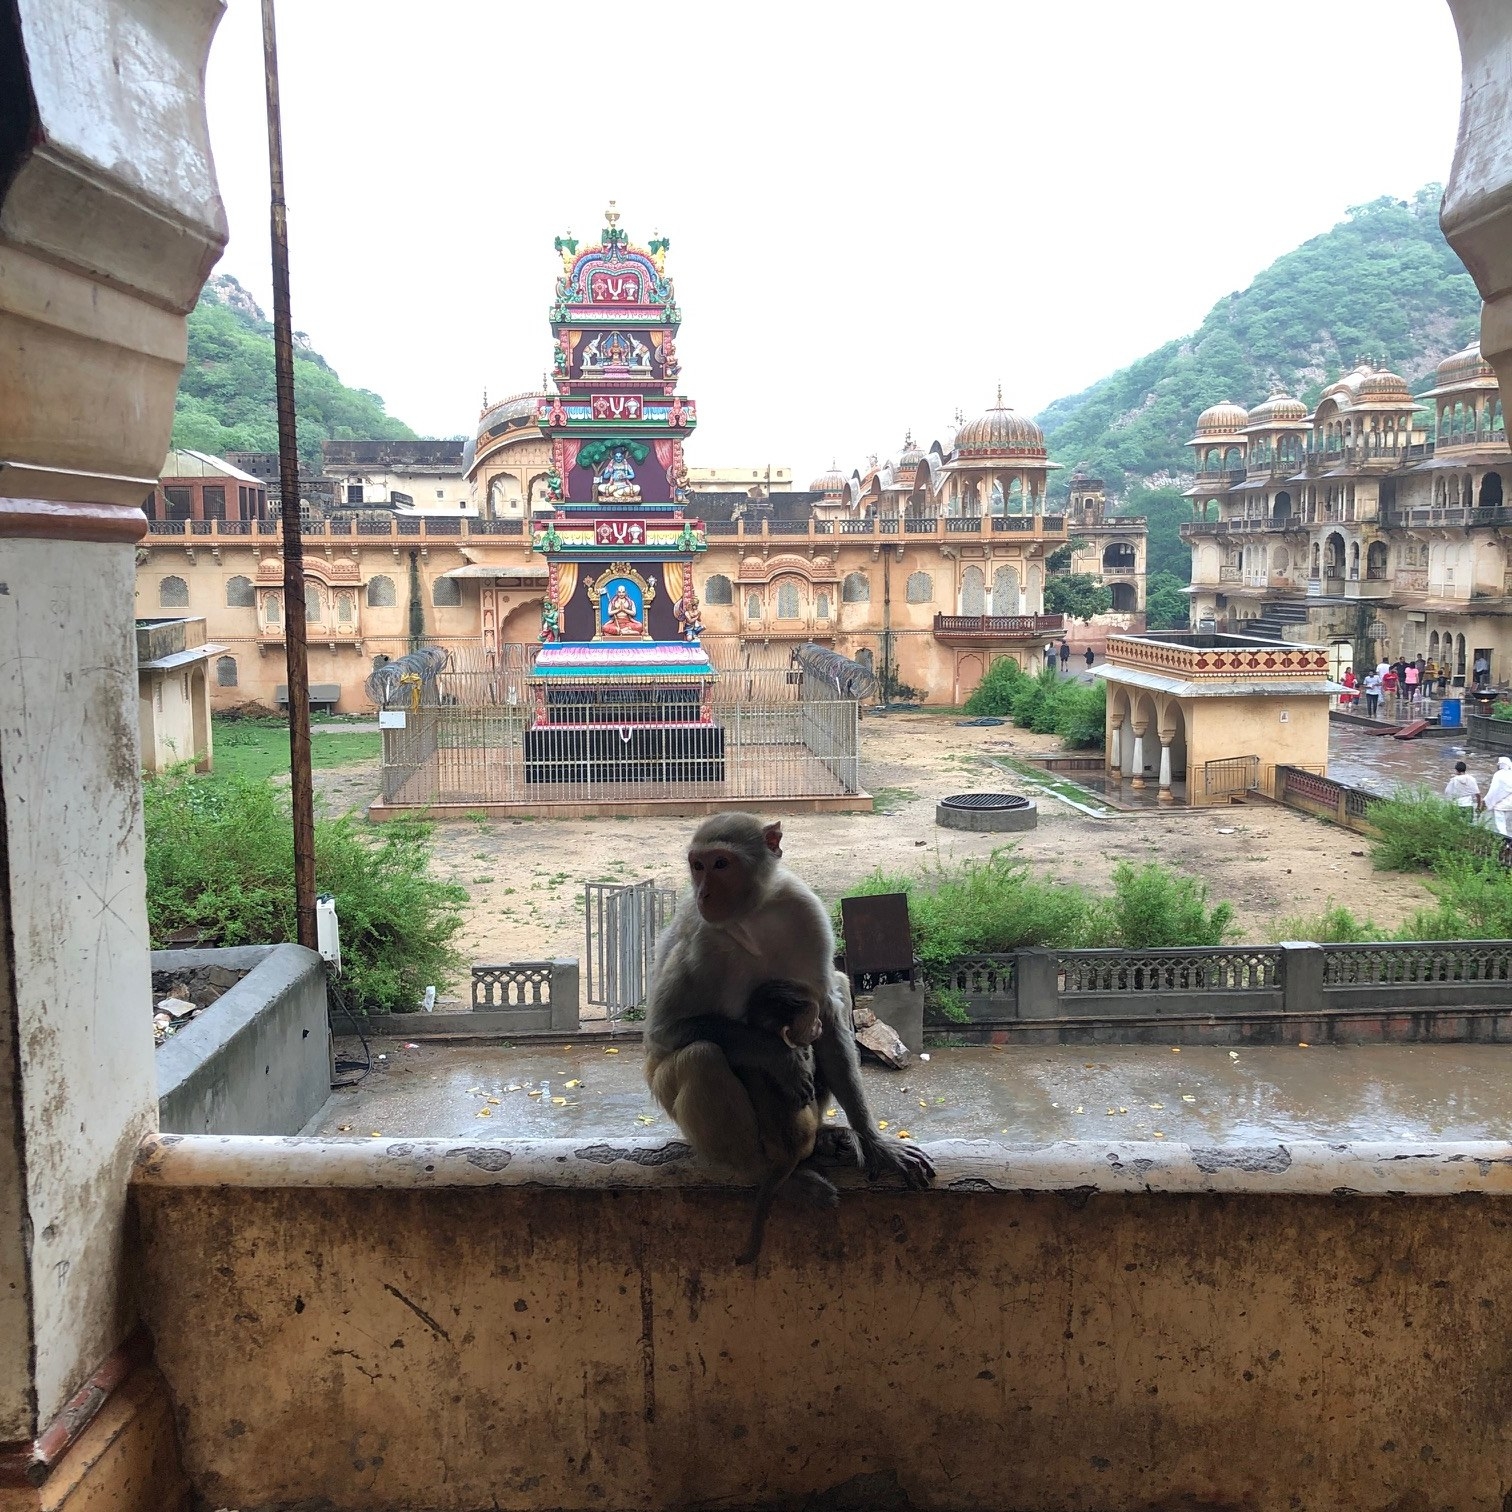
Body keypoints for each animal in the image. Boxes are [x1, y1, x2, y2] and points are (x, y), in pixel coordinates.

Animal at [641, 816, 931, 1191]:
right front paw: (781, 1059)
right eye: (698, 866)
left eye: (720, 864)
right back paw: (761, 1170)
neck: (754, 915)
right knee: (700, 1056)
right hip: (665, 1091)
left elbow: (826, 1010)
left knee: (838, 986)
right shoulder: (701, 941)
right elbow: (664, 1030)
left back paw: (821, 1138)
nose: (704, 894)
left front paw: (873, 1141)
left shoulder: (806, 911)